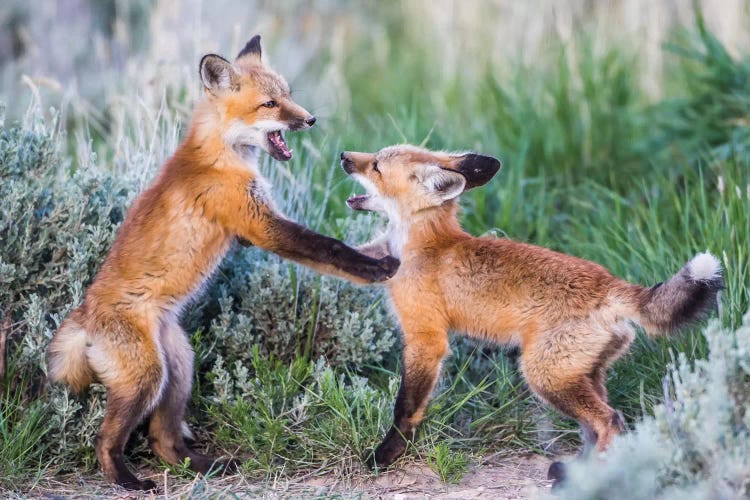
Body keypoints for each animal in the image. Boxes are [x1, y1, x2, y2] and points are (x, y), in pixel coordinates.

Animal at [46, 37, 400, 490]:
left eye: (289, 95)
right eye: (270, 104)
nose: (310, 119)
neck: (221, 154)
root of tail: (84, 313)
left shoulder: (253, 224)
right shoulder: (259, 224)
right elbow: (329, 248)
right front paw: (375, 269)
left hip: (178, 370)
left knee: (163, 440)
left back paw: (202, 466)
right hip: (146, 379)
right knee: (105, 439)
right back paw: (127, 481)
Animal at [340, 146, 724, 480]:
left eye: (376, 166)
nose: (344, 156)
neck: (423, 245)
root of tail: (611, 284)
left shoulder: (426, 338)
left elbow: (405, 408)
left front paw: (387, 455)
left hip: (544, 374)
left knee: (610, 421)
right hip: (580, 373)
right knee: (596, 426)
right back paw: (577, 474)